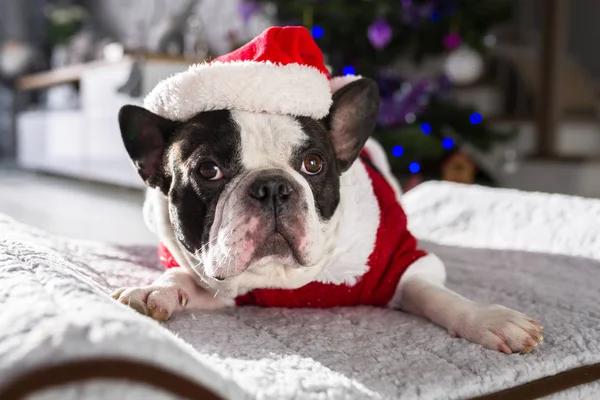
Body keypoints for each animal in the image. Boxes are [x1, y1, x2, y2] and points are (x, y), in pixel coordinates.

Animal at [110, 25, 540, 354]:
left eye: (313, 164)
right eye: (208, 170)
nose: (271, 186)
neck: (281, 279)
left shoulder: (399, 262)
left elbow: (432, 293)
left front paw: (487, 319)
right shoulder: (218, 286)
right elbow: (180, 278)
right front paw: (154, 291)